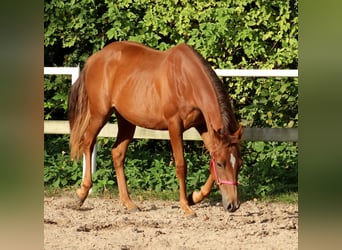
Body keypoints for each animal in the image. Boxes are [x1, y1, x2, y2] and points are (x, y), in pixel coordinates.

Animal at [67, 41, 243, 215]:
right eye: (221, 164)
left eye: (239, 164)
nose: (233, 205)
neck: (186, 80)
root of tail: (94, 59)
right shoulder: (174, 126)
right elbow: (181, 165)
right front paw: (185, 205)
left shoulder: (203, 125)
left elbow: (210, 165)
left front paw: (194, 197)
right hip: (100, 114)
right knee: (88, 142)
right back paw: (81, 194)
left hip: (126, 121)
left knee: (117, 153)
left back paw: (128, 203)